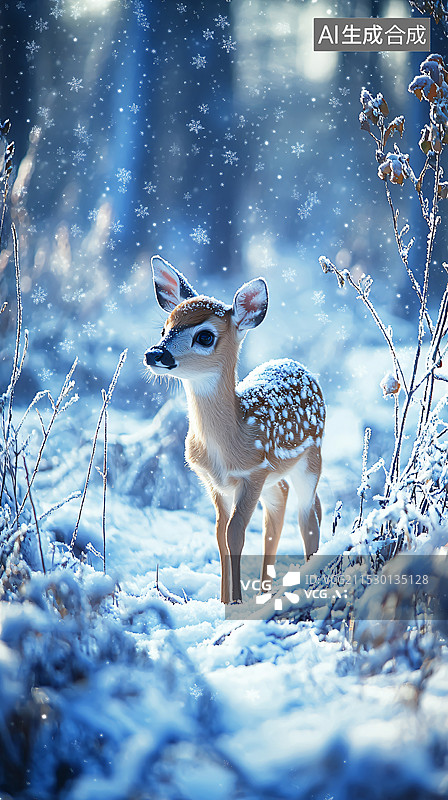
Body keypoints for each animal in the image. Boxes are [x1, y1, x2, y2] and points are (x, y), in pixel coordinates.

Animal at [144, 255, 325, 603]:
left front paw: (237, 600)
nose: (155, 353)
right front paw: (223, 599)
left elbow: (236, 533)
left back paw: (308, 573)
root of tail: (299, 366)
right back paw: (266, 589)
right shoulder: (213, 481)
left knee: (307, 514)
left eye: (204, 336)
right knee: (283, 506)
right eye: (165, 328)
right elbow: (219, 533)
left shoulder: (253, 473)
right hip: (275, 477)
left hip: (311, 457)